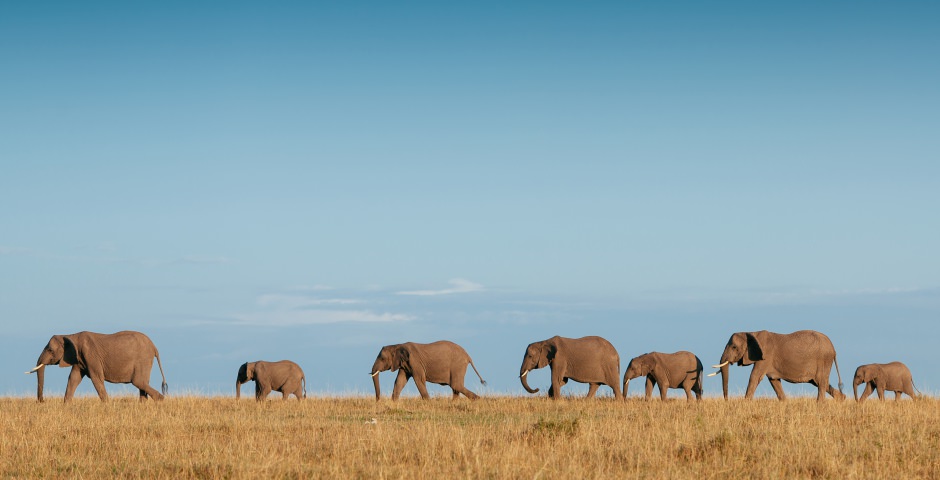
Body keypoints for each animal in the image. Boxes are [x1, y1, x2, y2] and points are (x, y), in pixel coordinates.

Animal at [25, 330, 169, 402]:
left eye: (50, 350)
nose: (42, 401)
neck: (71, 336)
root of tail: (154, 347)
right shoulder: (79, 359)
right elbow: (73, 379)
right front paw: (66, 405)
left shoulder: (90, 355)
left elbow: (96, 378)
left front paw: (107, 405)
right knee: (142, 383)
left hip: (143, 359)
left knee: (138, 382)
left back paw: (161, 400)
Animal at [708, 330, 848, 402]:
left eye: (734, 347)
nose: (726, 401)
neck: (752, 333)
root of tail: (833, 348)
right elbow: (774, 381)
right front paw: (785, 403)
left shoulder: (765, 357)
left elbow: (755, 377)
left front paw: (745, 403)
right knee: (820, 382)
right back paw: (842, 399)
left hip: (824, 360)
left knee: (821, 382)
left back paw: (819, 404)